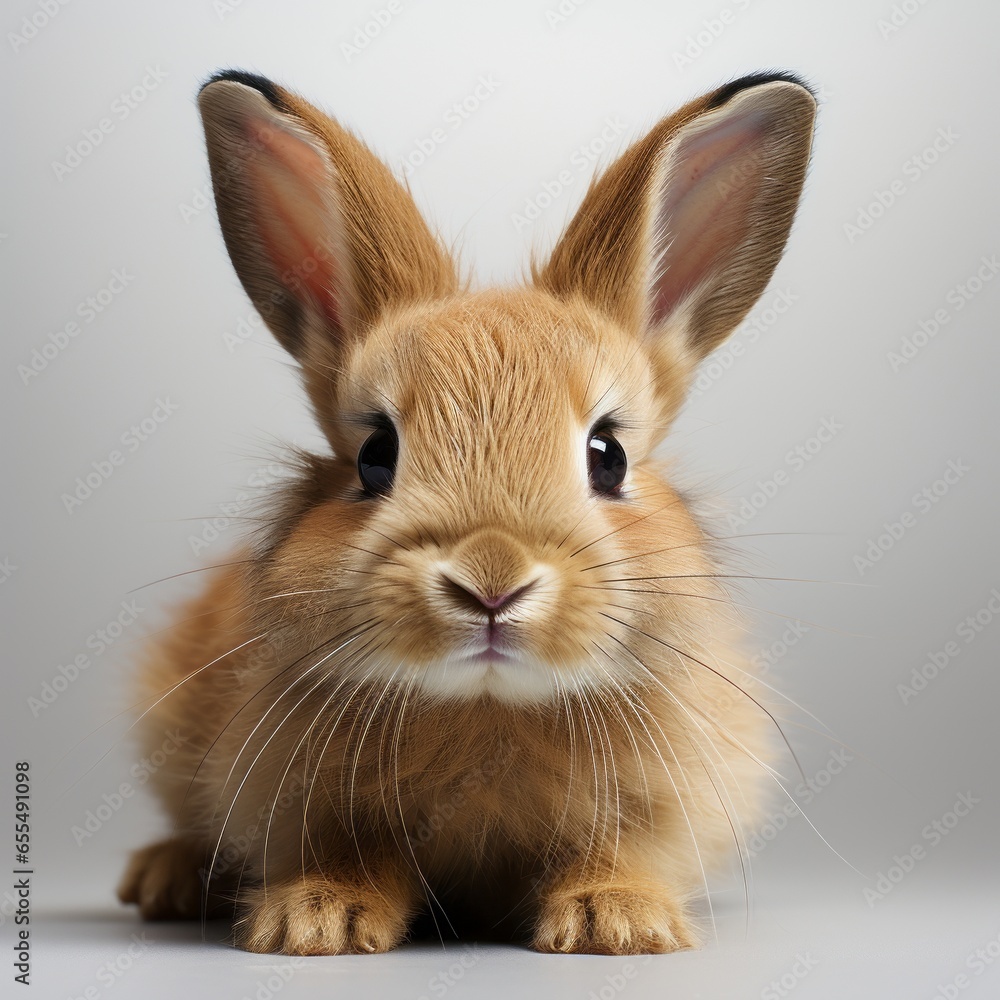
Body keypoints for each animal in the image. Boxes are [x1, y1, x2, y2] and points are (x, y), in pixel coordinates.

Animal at [116, 68, 816, 956]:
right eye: (375, 455)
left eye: (609, 457)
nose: (492, 581)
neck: (487, 709)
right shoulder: (307, 803)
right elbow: (346, 854)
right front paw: (315, 920)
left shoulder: (662, 799)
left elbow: (620, 849)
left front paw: (616, 921)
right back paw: (163, 879)